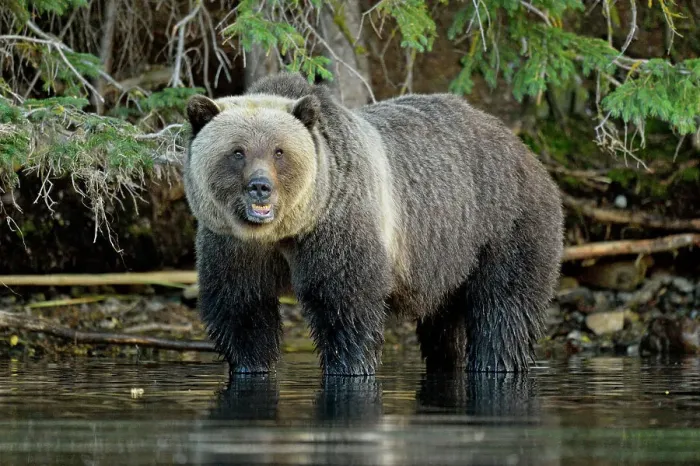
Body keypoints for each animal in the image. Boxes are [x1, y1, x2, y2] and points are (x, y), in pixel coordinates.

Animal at [183, 72, 564, 376]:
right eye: (237, 151)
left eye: (279, 151)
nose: (260, 186)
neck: (285, 230)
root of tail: (523, 149)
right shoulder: (233, 243)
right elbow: (241, 305)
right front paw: (251, 364)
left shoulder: (338, 223)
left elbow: (344, 302)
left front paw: (349, 366)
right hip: (448, 256)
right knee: (444, 321)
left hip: (504, 222)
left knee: (504, 306)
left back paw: (497, 362)